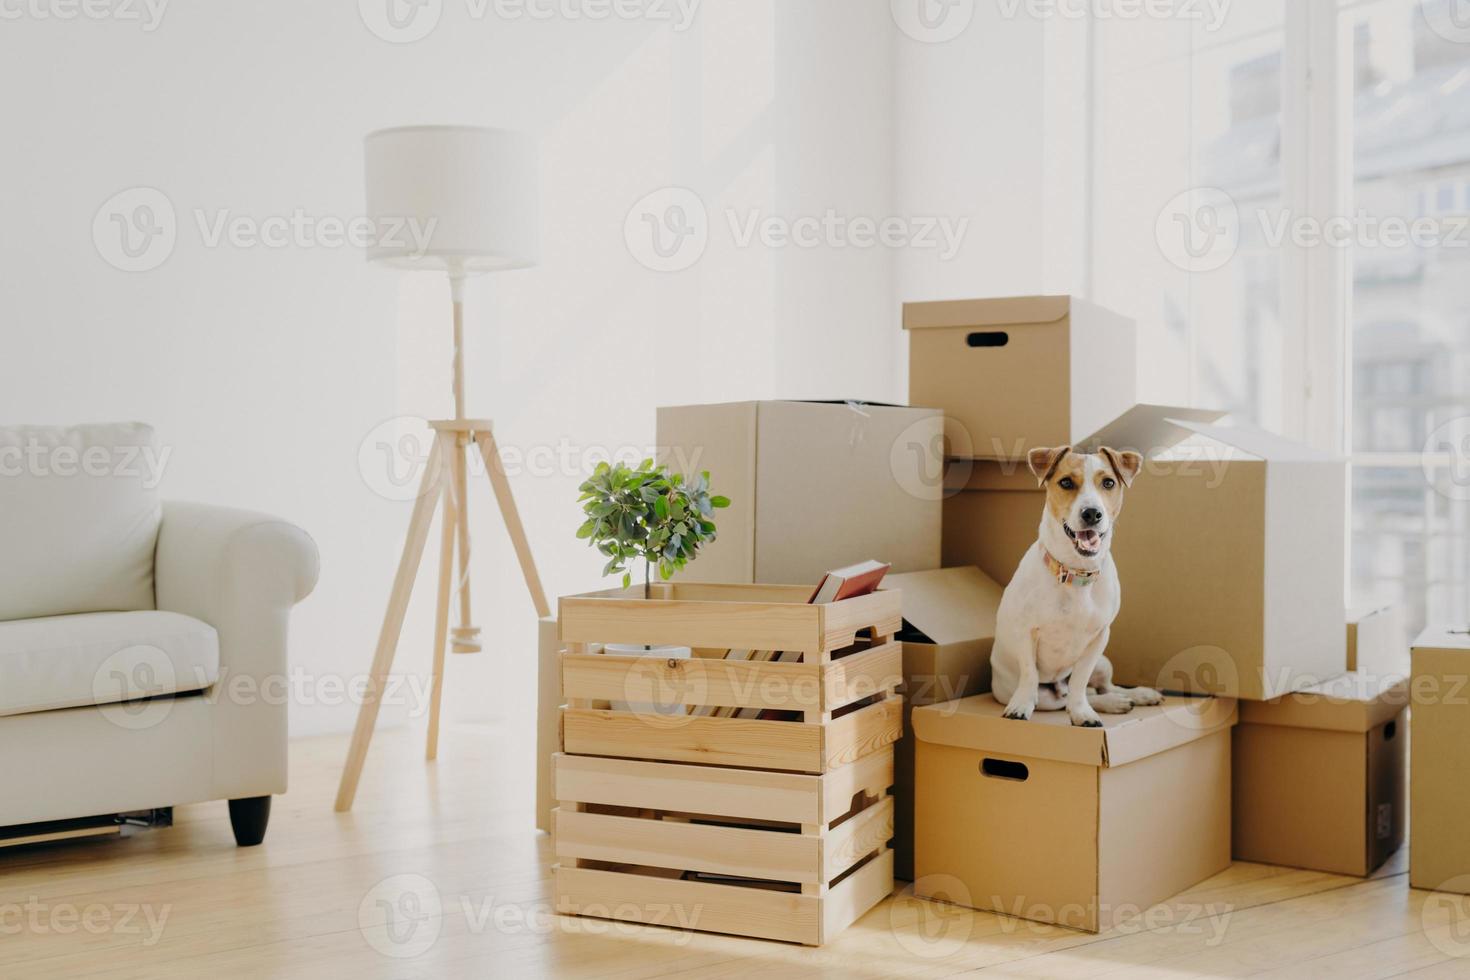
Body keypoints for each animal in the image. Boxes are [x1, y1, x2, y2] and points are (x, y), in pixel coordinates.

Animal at [993, 446, 1164, 728]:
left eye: (1109, 483)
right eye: (1066, 483)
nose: (1092, 513)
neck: (1075, 574)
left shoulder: (1099, 638)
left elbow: (1080, 682)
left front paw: (1082, 712)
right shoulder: (1026, 631)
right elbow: (1029, 674)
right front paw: (1020, 707)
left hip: (1104, 663)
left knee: (1100, 688)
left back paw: (1133, 696)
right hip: (1045, 696)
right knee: (1065, 699)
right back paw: (1114, 703)